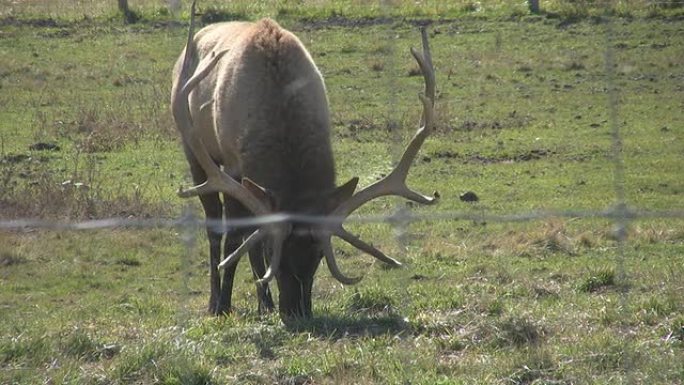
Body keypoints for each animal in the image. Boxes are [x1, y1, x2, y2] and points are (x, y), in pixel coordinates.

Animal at [171, 1, 438, 320]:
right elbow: (235, 236)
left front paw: (264, 300)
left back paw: (265, 303)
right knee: (215, 224)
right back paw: (216, 301)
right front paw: (224, 305)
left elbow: (251, 234)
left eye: (320, 254)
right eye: (276, 254)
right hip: (195, 151)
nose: (297, 313)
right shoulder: (233, 164)